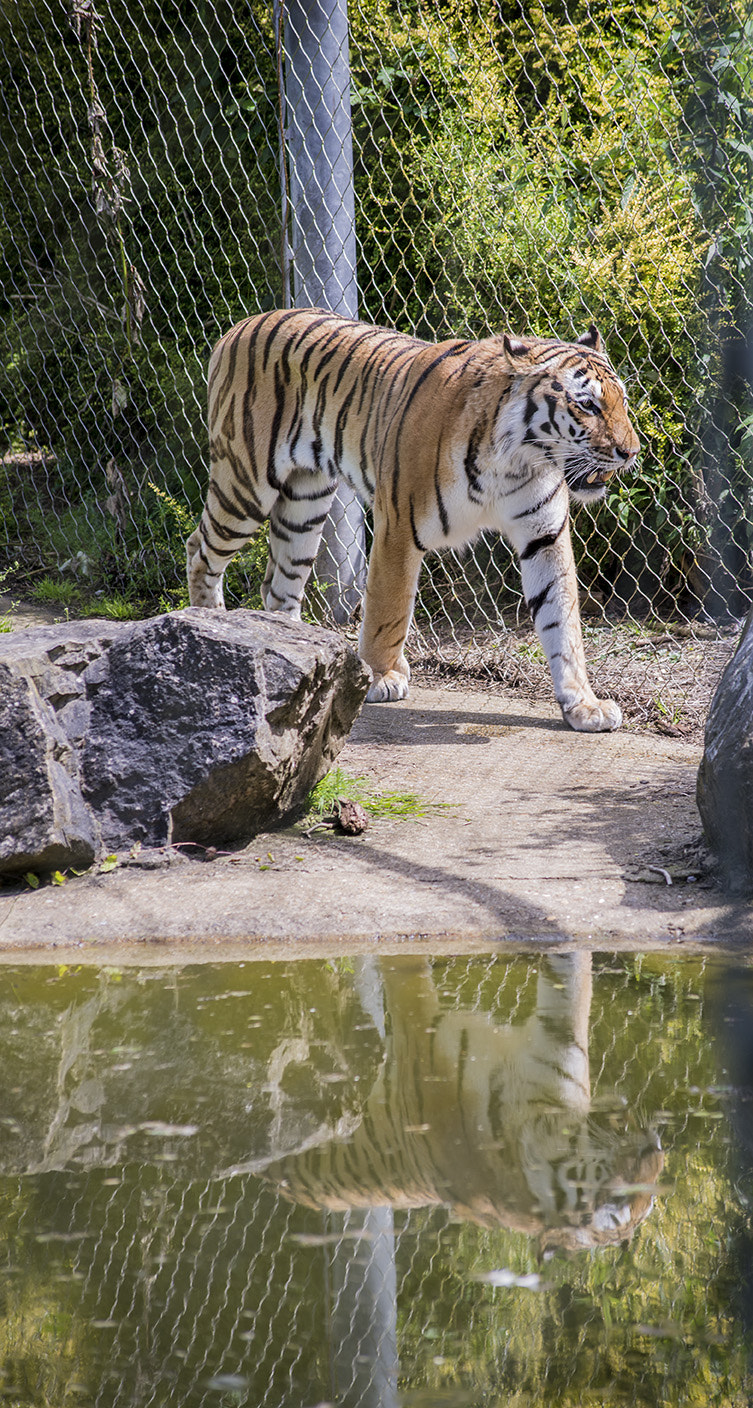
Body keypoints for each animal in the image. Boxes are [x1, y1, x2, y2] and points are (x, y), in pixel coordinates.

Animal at [186, 308, 640, 732]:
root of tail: (239, 326)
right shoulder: (398, 526)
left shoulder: (544, 536)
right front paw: (380, 676)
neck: (518, 459)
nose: (631, 452)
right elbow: (388, 611)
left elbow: (562, 622)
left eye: (622, 402)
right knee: (200, 551)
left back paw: (299, 656)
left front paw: (583, 704)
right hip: (245, 485)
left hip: (305, 503)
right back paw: (212, 624)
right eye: (588, 405)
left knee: (278, 587)